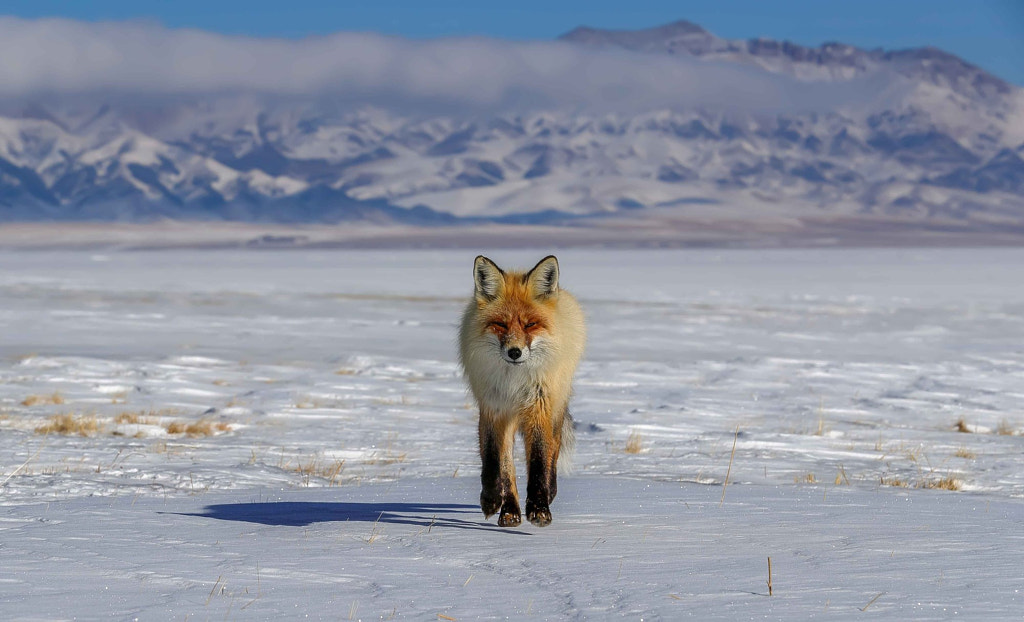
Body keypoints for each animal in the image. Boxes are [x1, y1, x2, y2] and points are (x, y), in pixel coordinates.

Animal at [456, 255, 585, 528]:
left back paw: (550, 492)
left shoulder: (538, 406)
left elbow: (539, 460)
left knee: (554, 449)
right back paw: (509, 511)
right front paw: (493, 500)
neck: (514, 383)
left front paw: (539, 509)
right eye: (500, 324)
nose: (514, 352)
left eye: (530, 325)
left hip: (555, 408)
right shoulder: (493, 407)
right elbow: (494, 462)